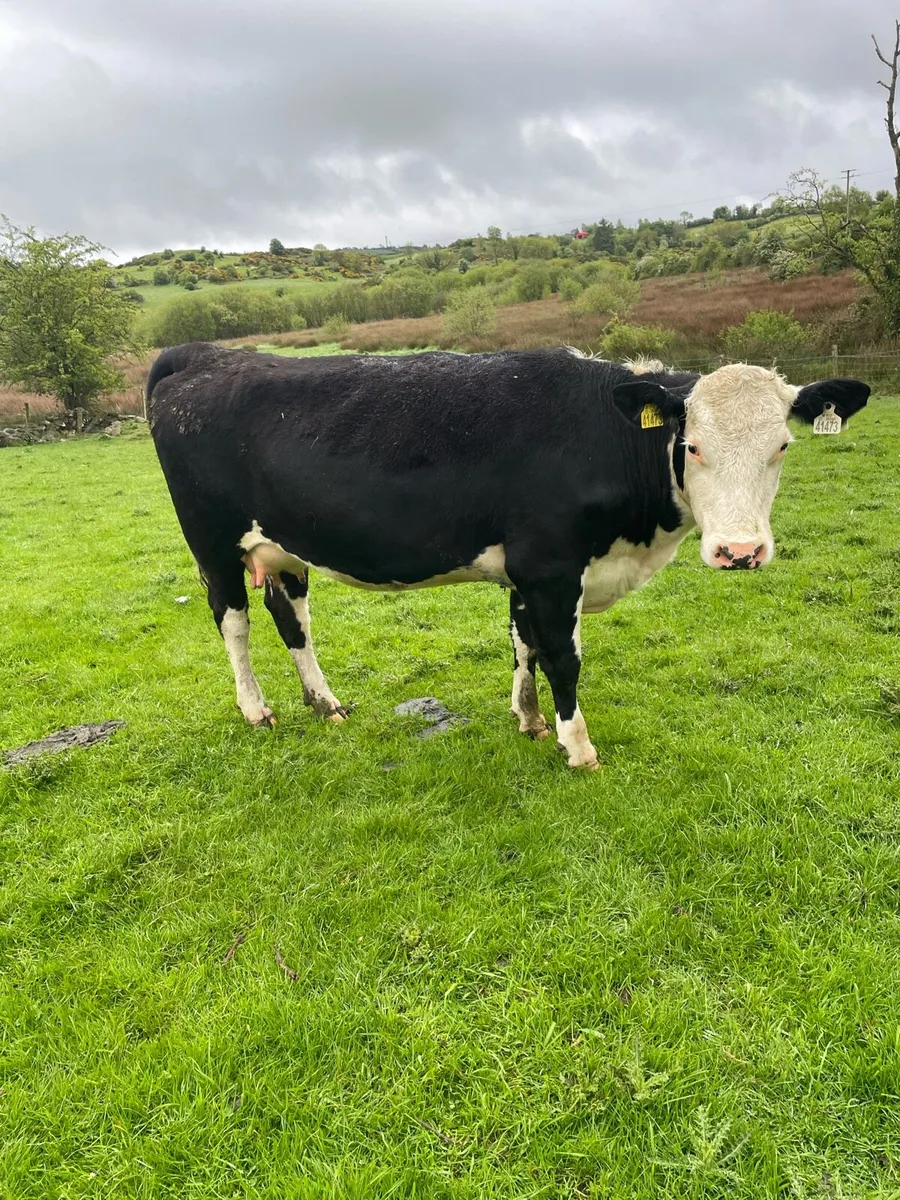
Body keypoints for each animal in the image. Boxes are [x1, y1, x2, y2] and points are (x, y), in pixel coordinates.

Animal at [146, 342, 869, 769]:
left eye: (782, 445)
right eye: (690, 445)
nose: (740, 551)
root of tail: (205, 353)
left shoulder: (526, 571)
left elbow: (523, 645)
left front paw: (528, 719)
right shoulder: (551, 568)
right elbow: (562, 657)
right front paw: (578, 746)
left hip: (285, 546)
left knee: (290, 617)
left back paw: (326, 704)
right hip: (212, 543)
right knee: (233, 621)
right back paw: (255, 709)